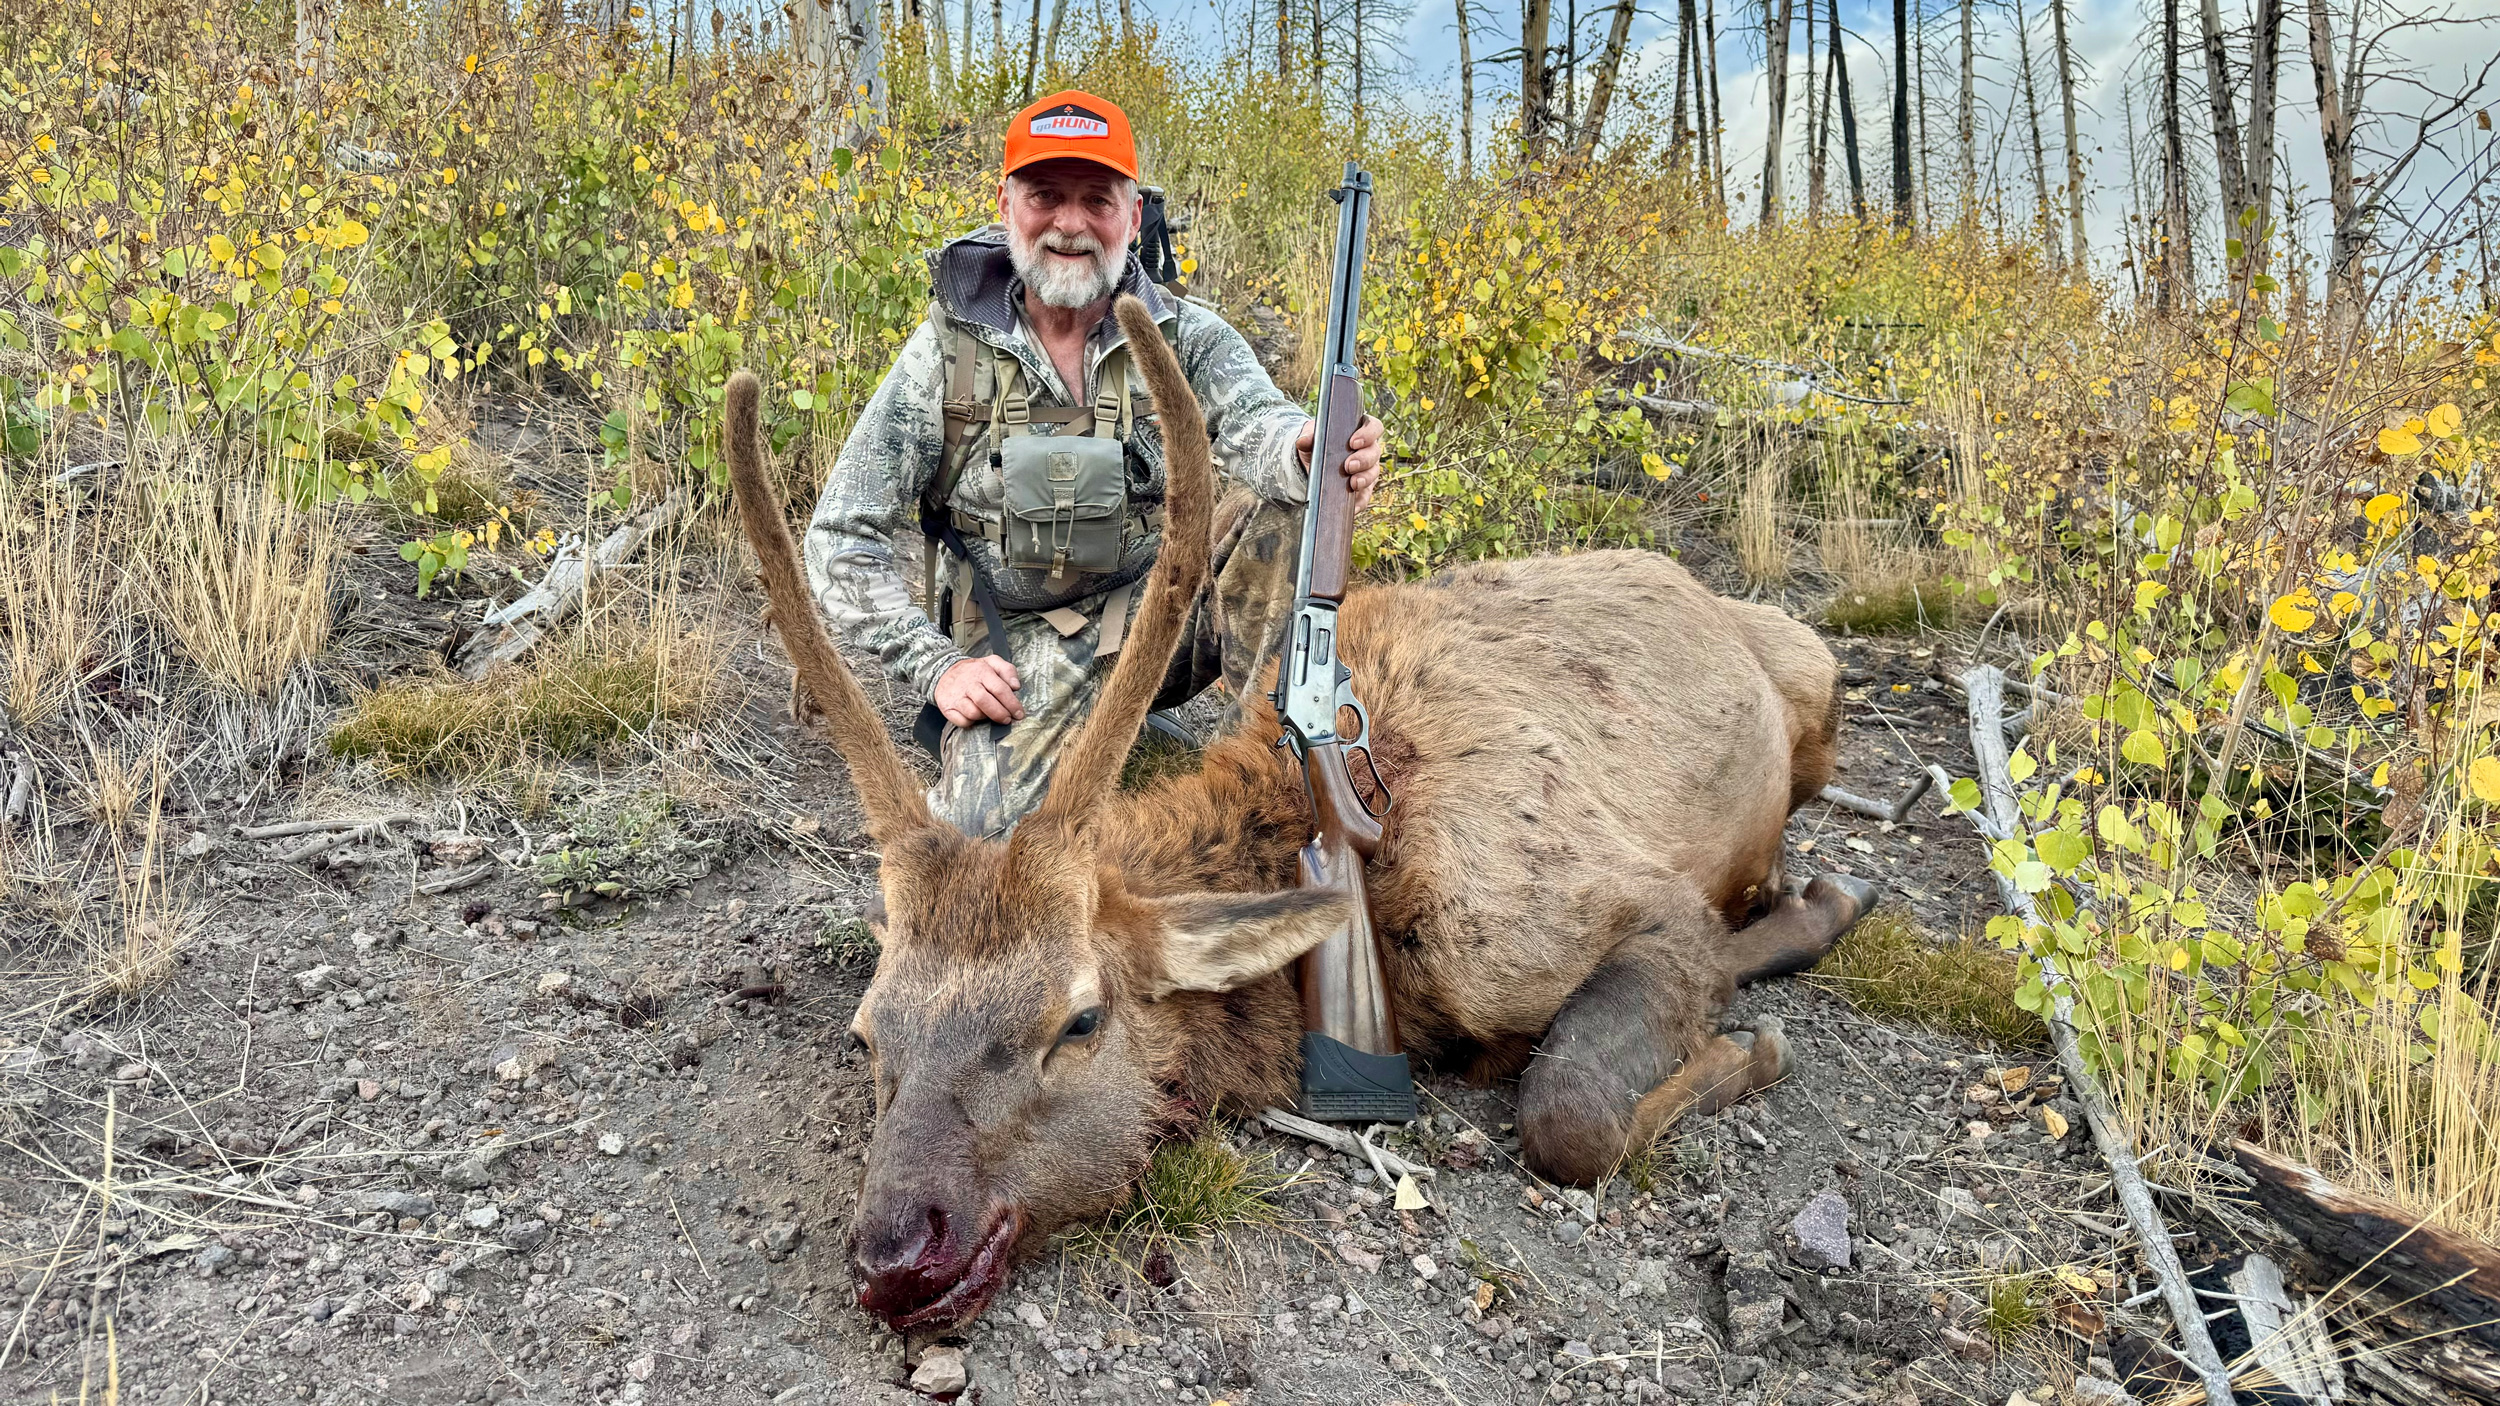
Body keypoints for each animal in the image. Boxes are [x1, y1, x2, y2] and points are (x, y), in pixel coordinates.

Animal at [723, 296, 1881, 1336]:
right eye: (870, 1030)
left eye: (1078, 1020)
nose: (894, 1255)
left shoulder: (1604, 903)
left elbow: (1570, 1110)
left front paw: (1749, 1050)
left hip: (1813, 684)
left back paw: (1817, 898)